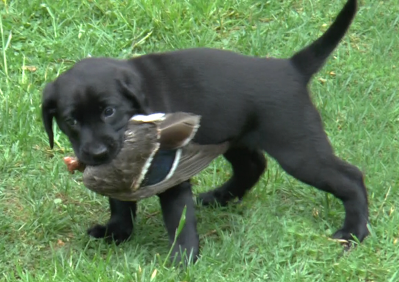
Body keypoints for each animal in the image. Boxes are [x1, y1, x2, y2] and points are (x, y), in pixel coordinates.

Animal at [41, 0, 368, 264]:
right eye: (71, 120)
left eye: (109, 111)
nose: (96, 153)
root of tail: (292, 68)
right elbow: (121, 203)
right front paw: (116, 233)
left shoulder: (170, 179)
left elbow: (178, 219)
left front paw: (183, 260)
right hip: (233, 137)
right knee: (253, 166)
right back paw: (220, 196)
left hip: (298, 150)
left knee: (351, 178)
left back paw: (354, 231)